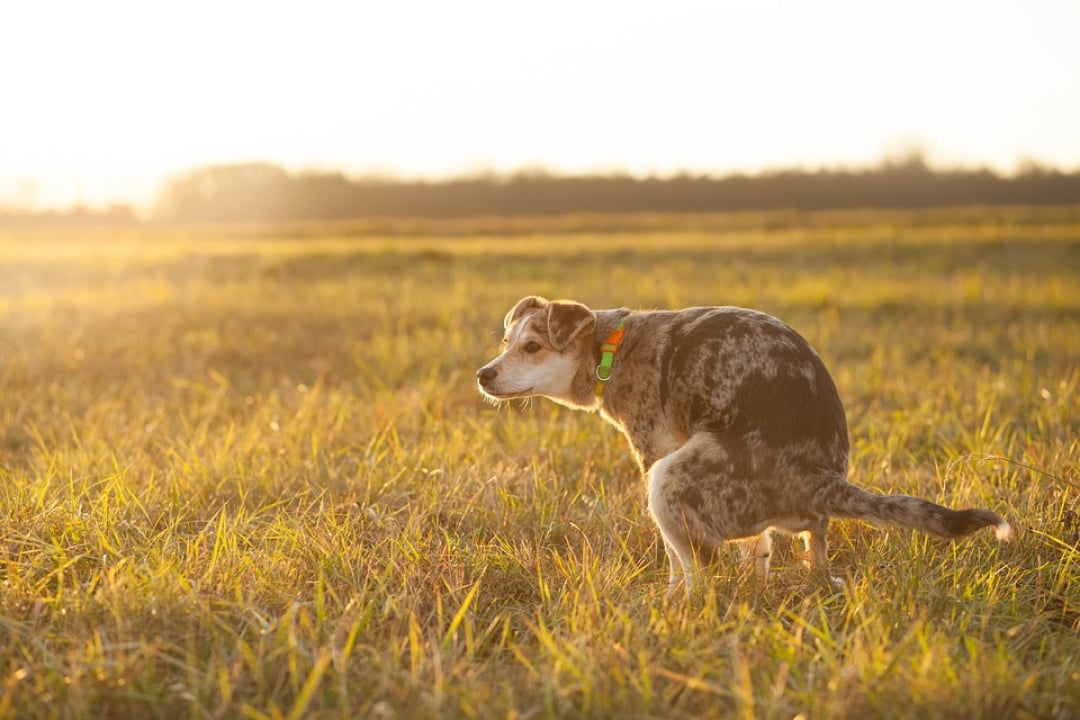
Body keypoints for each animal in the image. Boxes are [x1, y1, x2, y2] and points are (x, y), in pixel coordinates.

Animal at [475, 297, 1010, 591]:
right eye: (505, 342)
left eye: (532, 347)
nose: (483, 374)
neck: (611, 348)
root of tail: (820, 479)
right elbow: (759, 549)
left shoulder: (654, 453)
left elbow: (675, 561)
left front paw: (670, 599)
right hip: (792, 520)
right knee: (810, 548)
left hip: (669, 479)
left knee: (701, 573)